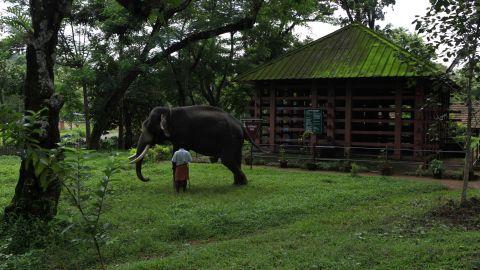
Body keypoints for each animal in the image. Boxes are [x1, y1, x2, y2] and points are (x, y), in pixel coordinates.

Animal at [129, 105, 260, 186]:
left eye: (149, 128)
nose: (148, 178)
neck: (169, 111)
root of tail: (241, 125)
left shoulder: (181, 133)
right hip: (237, 140)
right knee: (237, 158)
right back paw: (237, 184)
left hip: (230, 138)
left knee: (227, 159)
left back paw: (244, 183)